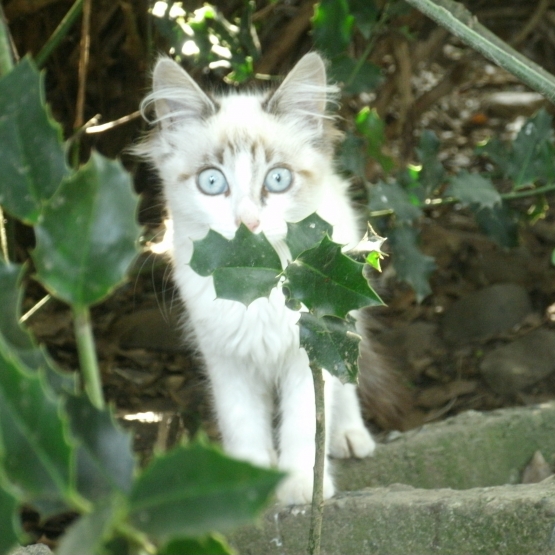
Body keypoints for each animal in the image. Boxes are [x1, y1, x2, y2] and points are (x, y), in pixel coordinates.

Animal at [137, 53, 402, 508]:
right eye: (212, 182)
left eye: (278, 179)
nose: (248, 222)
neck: (254, 280)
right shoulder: (225, 357)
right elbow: (242, 423)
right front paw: (244, 486)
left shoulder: (310, 351)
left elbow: (304, 425)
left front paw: (301, 488)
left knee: (346, 376)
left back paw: (350, 435)